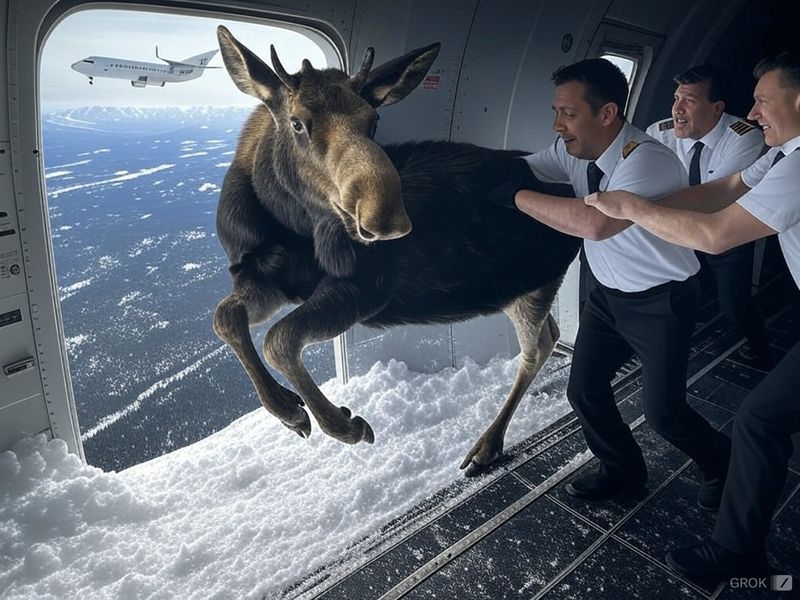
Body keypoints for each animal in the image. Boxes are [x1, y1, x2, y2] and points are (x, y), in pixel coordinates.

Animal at [213, 25, 580, 476]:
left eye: (374, 120)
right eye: (297, 123)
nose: (386, 217)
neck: (289, 223)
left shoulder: (369, 286)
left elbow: (279, 338)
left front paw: (340, 423)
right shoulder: (260, 274)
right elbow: (227, 317)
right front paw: (288, 409)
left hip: (535, 281)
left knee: (538, 346)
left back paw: (487, 443)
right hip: (518, 287)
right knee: (549, 335)